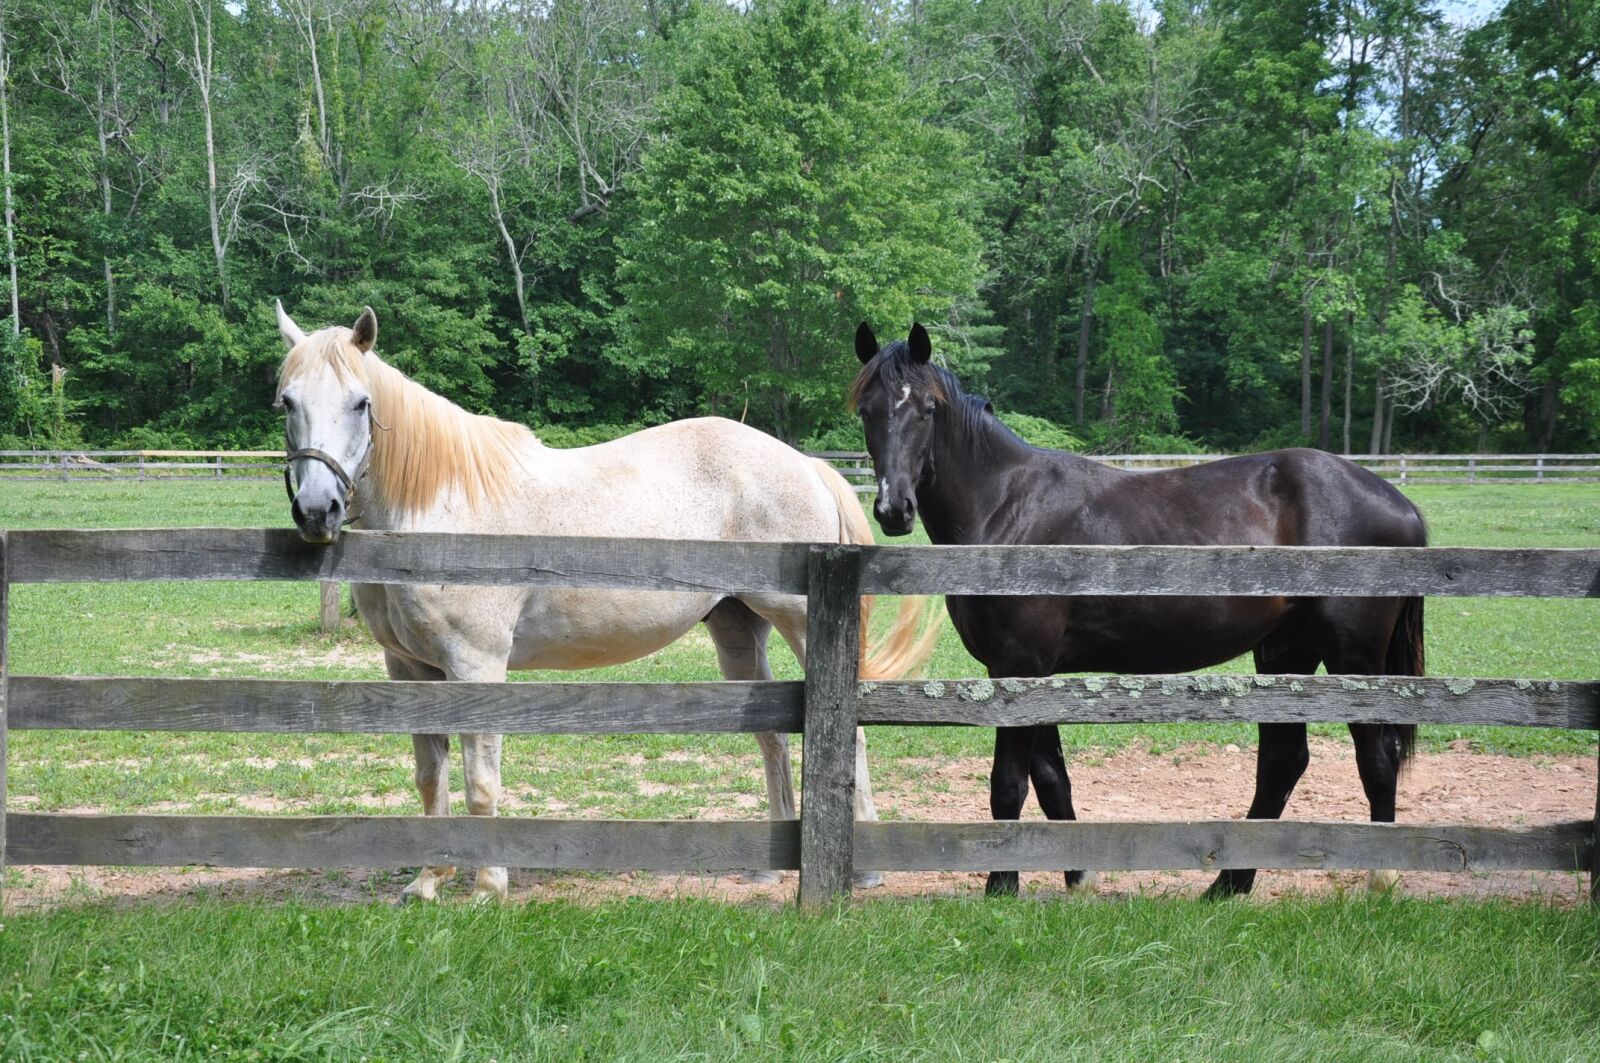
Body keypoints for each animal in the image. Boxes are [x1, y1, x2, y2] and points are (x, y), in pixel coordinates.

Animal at [273, 303, 938, 902]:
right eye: (287, 402)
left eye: (361, 403)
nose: (317, 510)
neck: (438, 509)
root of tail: (805, 464)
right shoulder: (410, 669)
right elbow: (430, 777)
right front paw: (427, 880)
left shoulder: (475, 665)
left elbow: (480, 780)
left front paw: (488, 887)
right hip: (736, 630)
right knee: (773, 739)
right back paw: (767, 870)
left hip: (800, 623)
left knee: (850, 735)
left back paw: (864, 871)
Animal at [849, 322, 1427, 899]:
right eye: (867, 410)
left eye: (927, 408)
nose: (893, 509)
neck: (1008, 508)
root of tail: (1398, 501)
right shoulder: (1022, 670)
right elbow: (1052, 779)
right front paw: (1077, 877)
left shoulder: (1020, 668)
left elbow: (1008, 785)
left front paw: (1001, 886)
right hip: (1286, 652)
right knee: (1285, 763)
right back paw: (1228, 884)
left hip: (1352, 657)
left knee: (1377, 757)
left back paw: (1381, 875)